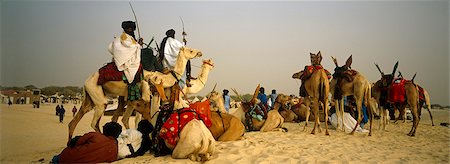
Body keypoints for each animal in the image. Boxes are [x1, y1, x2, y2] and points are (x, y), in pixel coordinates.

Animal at [67, 46, 202, 141]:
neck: (165, 78)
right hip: (99, 98)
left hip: (90, 98)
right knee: (95, 122)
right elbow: (152, 117)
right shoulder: (151, 96)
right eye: (190, 50)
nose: (200, 52)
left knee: (76, 120)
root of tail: (86, 82)